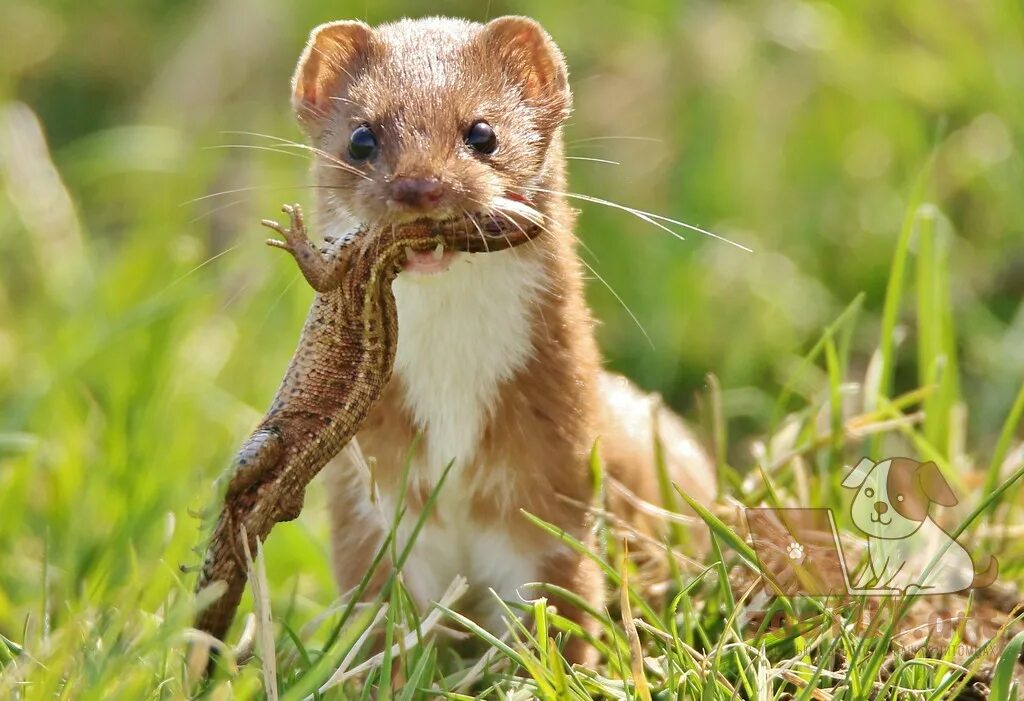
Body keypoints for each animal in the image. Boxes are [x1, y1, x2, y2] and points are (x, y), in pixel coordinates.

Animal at [288, 15, 716, 663]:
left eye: (483, 132)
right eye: (361, 137)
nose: (419, 186)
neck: (453, 403)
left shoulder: (555, 476)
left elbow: (560, 604)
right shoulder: (369, 504)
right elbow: (382, 617)